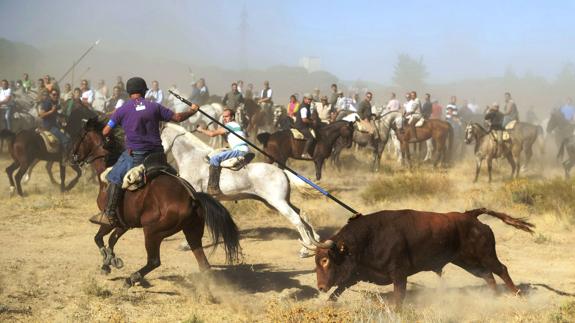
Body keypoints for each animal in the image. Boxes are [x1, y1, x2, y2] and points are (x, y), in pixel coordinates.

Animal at [70, 118, 241, 286]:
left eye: (80, 136)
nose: (73, 156)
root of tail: (193, 197)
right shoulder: (125, 223)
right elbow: (111, 239)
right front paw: (110, 261)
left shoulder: (109, 219)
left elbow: (99, 238)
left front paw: (108, 261)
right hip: (192, 232)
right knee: (203, 264)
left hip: (153, 232)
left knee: (154, 261)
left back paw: (132, 278)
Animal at [162, 123, 322, 256]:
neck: (191, 157)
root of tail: (282, 171)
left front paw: (185, 244)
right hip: (276, 202)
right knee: (301, 214)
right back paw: (311, 243)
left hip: (278, 202)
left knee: (296, 219)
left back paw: (306, 248)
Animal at [310, 209, 536, 308]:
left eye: (325, 260)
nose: (320, 287)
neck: (368, 239)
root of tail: (470, 215)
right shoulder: (359, 273)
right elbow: (339, 289)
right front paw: (327, 303)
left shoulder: (399, 274)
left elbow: (399, 296)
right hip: (467, 262)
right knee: (488, 275)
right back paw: (491, 298)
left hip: (486, 255)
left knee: (501, 269)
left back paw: (517, 294)